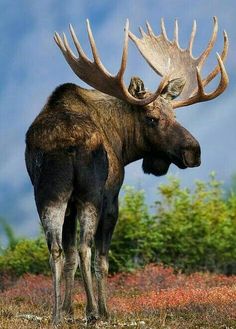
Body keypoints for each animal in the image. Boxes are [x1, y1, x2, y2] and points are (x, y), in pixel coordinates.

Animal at [25, 17, 229, 322]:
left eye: (174, 114)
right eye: (153, 118)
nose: (194, 151)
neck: (123, 143)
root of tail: (67, 142)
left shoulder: (69, 202)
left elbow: (70, 256)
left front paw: (67, 311)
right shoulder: (112, 196)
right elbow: (102, 260)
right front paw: (102, 310)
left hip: (49, 193)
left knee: (56, 249)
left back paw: (56, 316)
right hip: (90, 194)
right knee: (86, 248)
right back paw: (94, 312)